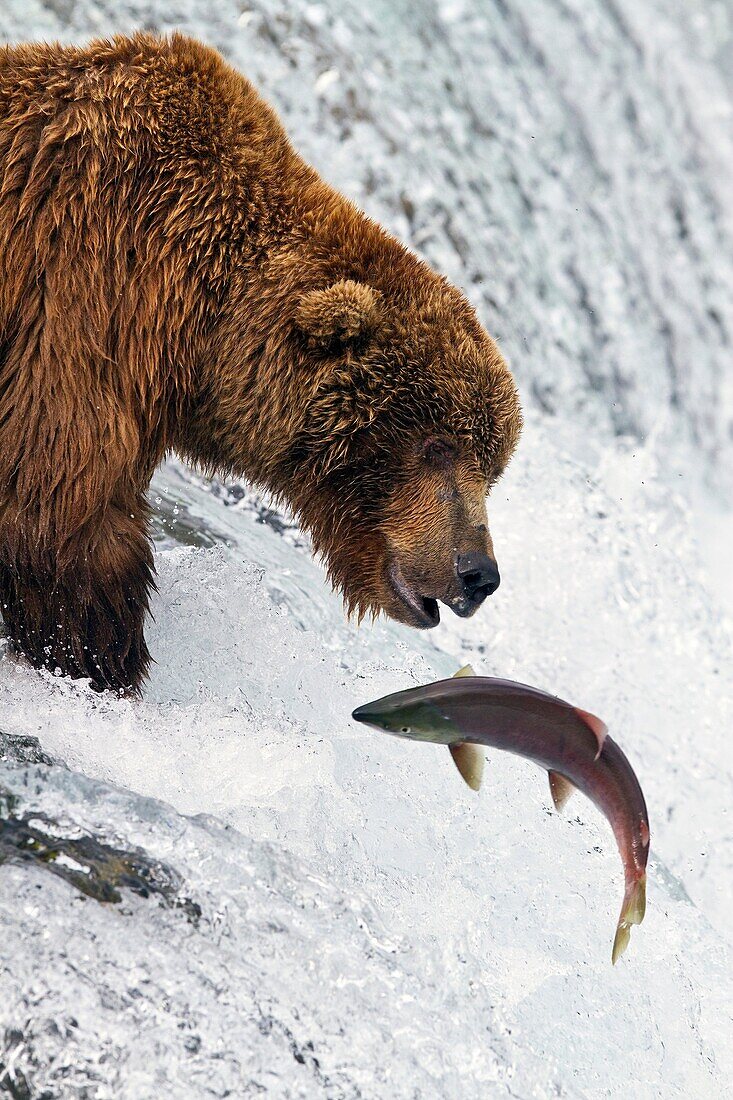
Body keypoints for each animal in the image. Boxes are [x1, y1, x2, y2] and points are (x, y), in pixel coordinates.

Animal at [0, 34, 519, 690]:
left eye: (492, 467)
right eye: (438, 445)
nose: (478, 572)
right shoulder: (86, 285)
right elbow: (58, 500)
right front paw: (105, 660)